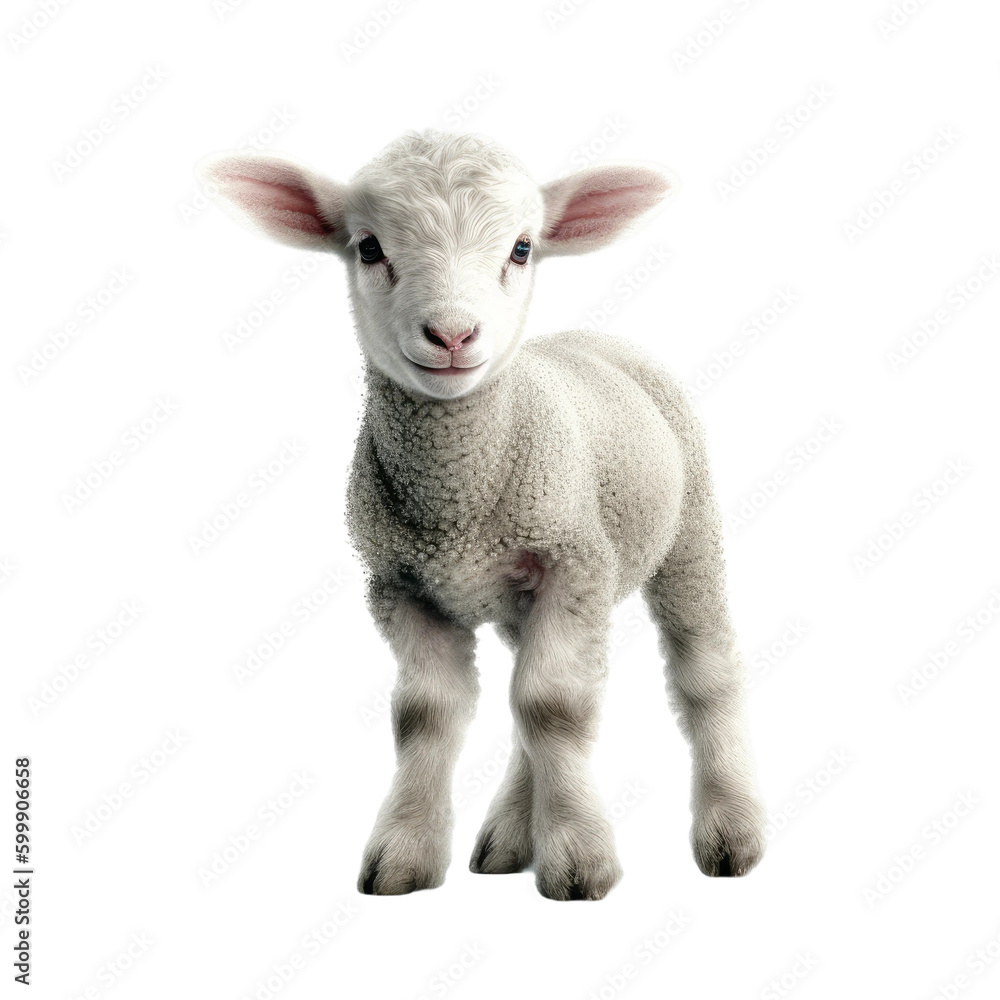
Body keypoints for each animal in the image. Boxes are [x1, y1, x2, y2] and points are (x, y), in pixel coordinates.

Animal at [198, 129, 766, 900]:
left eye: (522, 248)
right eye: (368, 247)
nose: (452, 334)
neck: (458, 498)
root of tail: (596, 339)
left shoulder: (572, 564)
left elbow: (553, 704)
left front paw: (579, 858)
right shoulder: (401, 585)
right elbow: (428, 714)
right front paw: (405, 853)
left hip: (688, 535)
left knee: (703, 672)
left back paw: (730, 833)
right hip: (522, 599)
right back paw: (506, 840)